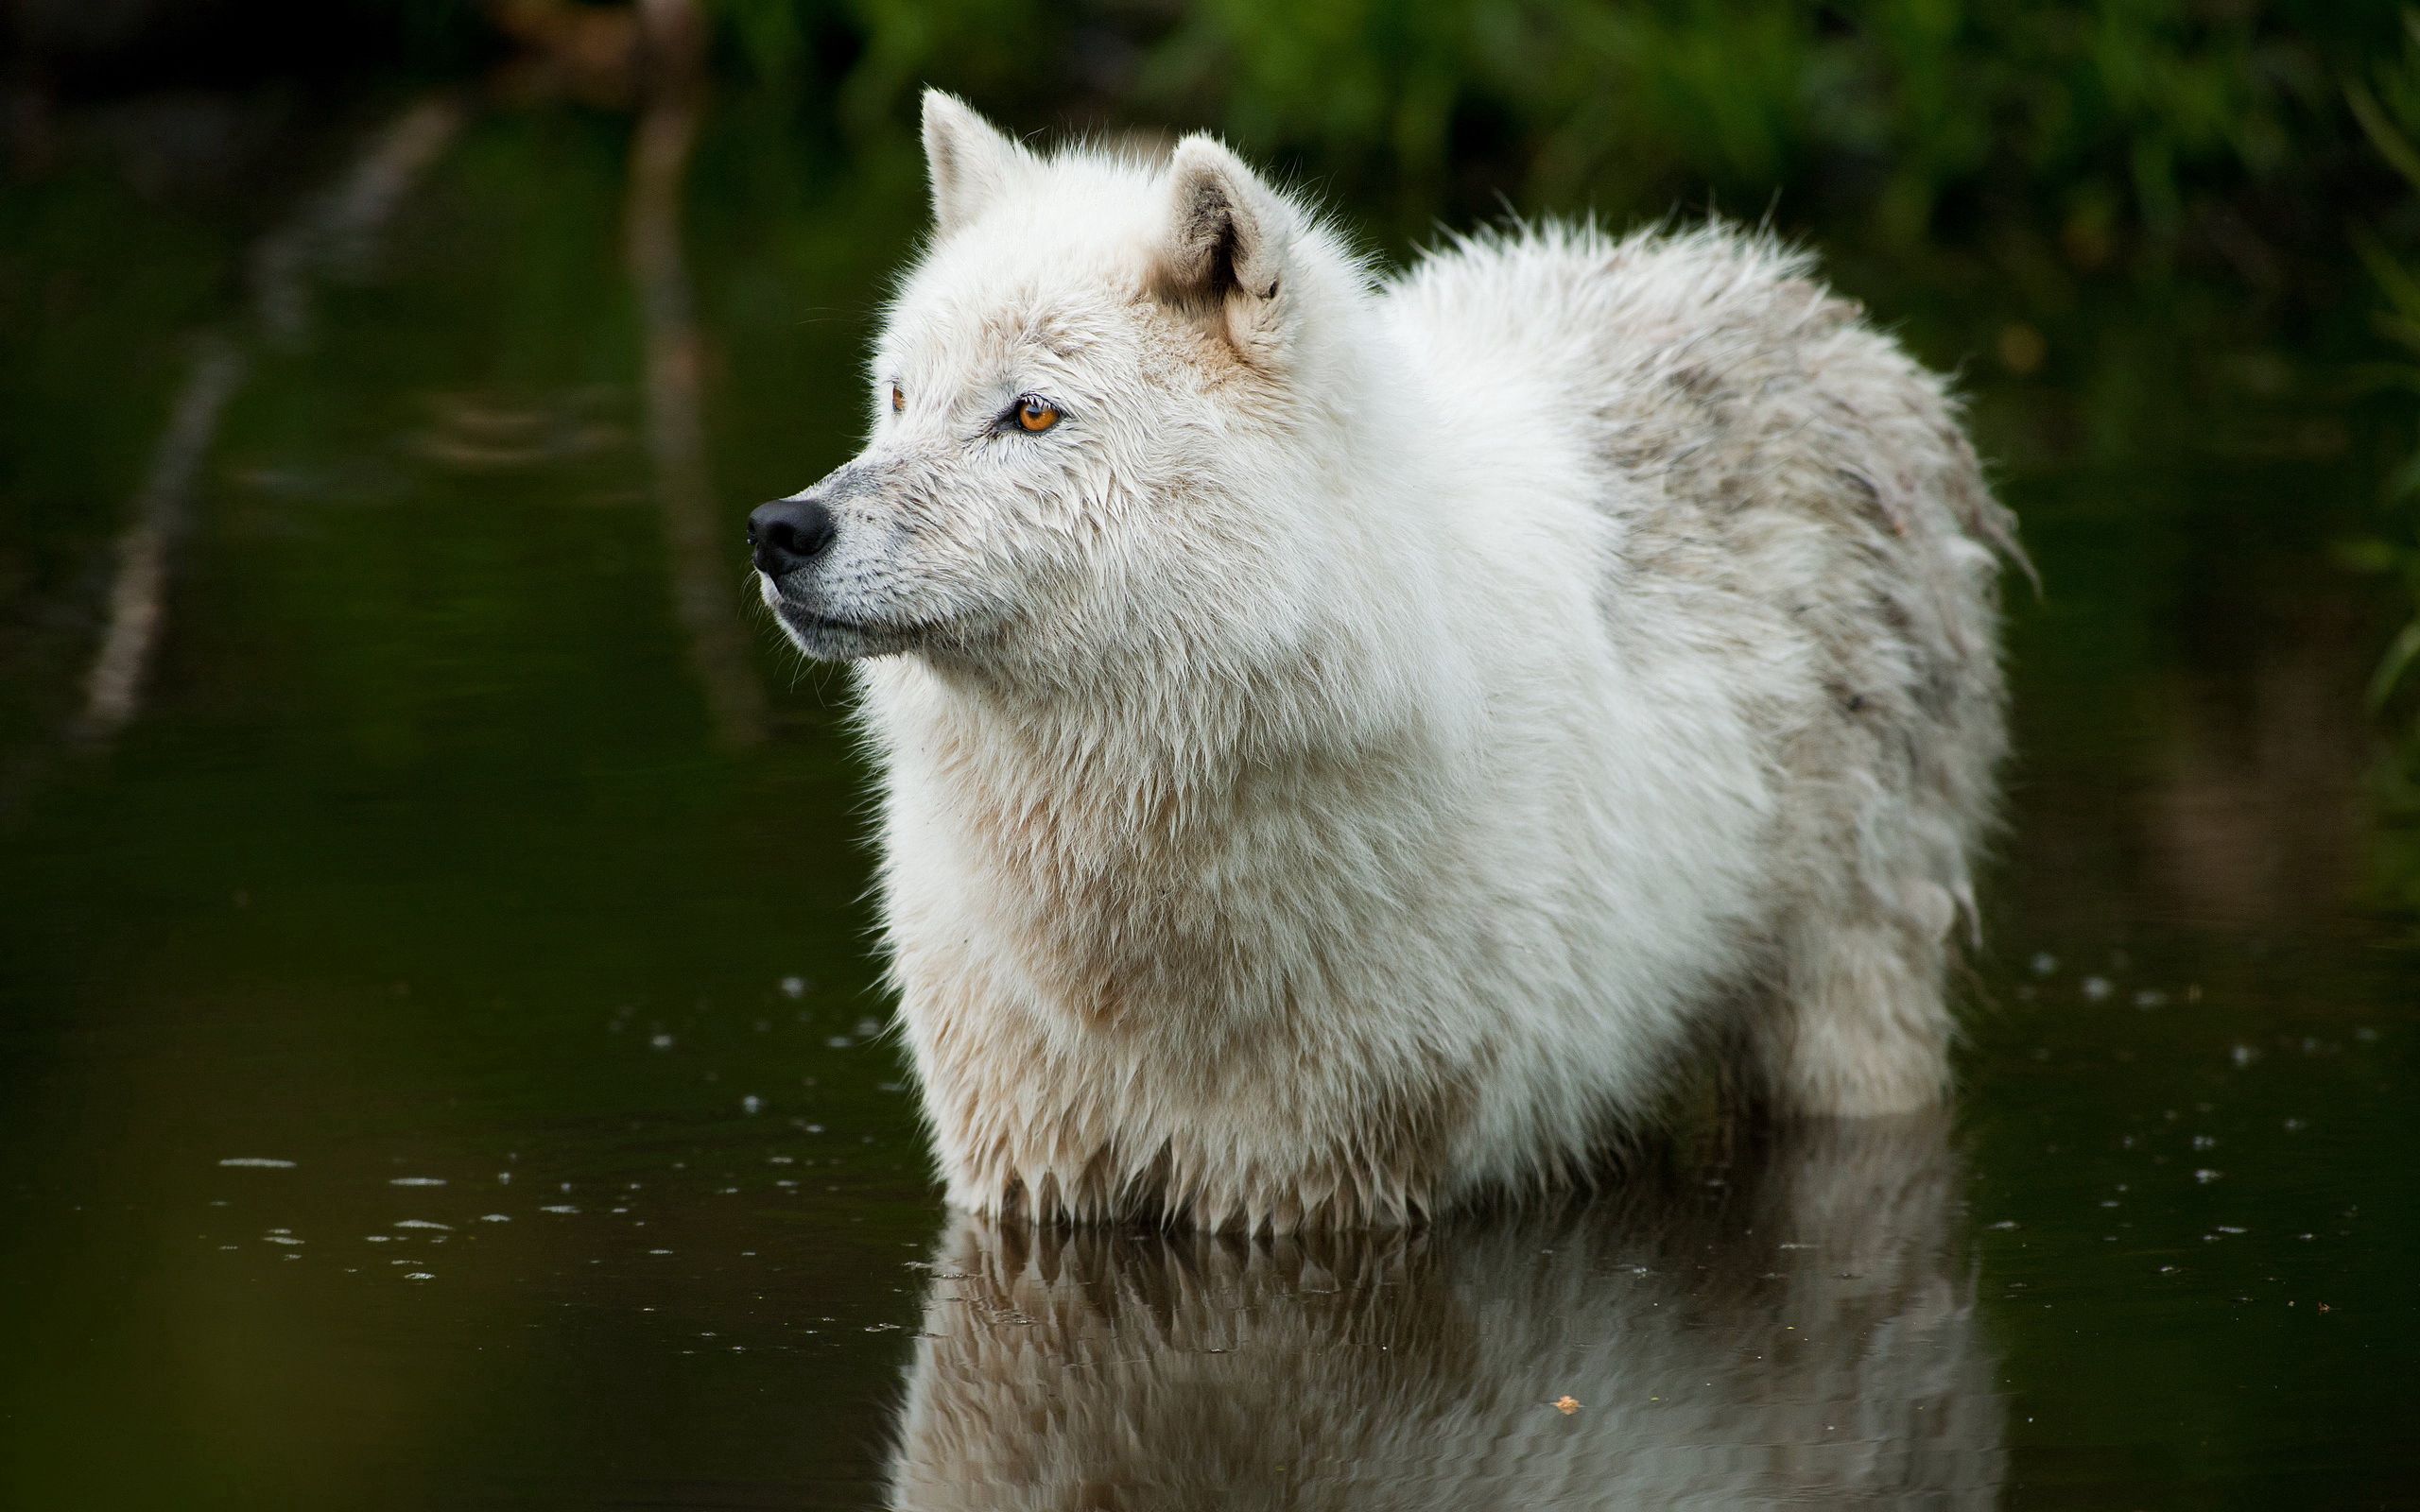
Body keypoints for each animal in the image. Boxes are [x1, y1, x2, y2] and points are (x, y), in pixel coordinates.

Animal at [754, 91, 2023, 1228]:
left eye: (1029, 415)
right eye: (898, 396)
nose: (781, 530)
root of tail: (1807, 302)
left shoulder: (1333, 1181)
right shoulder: (1023, 1172)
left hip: (1846, 1027)